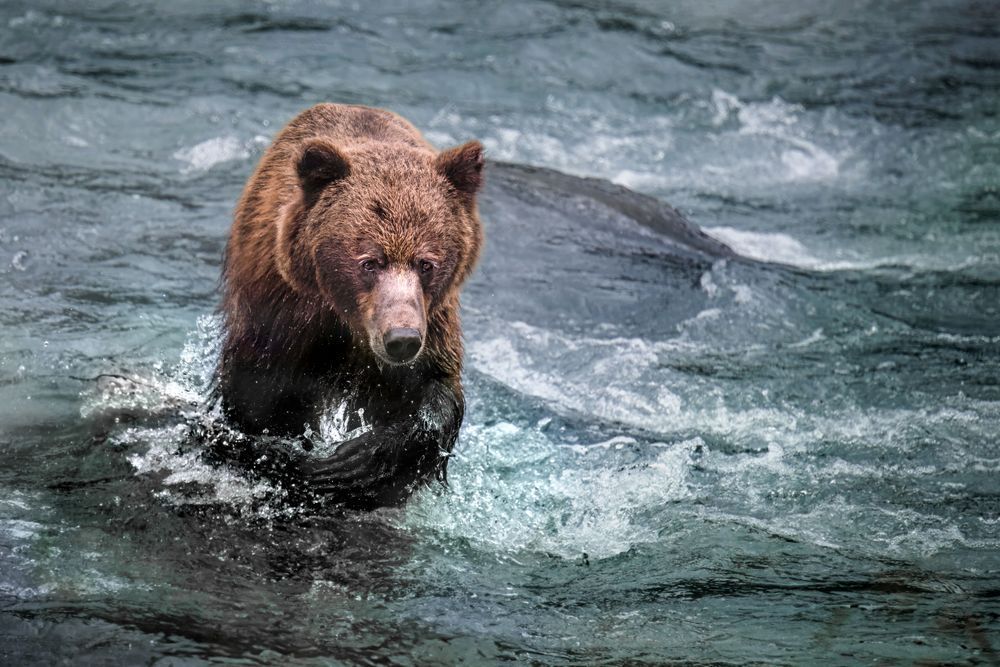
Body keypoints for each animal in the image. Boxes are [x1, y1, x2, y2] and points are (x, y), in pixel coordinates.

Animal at [214, 103, 484, 509]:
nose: (401, 339)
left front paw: (353, 464)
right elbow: (258, 401)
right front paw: (289, 460)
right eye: (369, 262)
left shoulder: (433, 323)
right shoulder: (281, 317)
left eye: (427, 263)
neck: (346, 323)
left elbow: (434, 396)